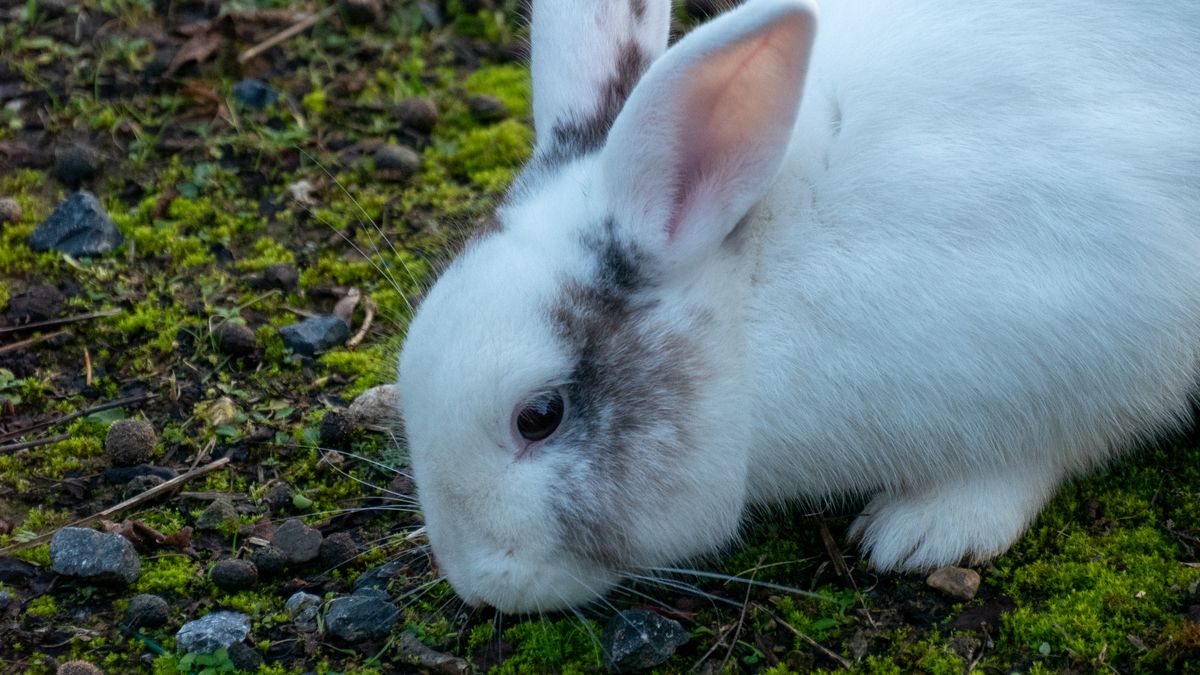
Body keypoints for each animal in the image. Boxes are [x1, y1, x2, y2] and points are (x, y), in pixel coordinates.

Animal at [397, 0, 1200, 613]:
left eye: (539, 415)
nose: (474, 584)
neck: (750, 296)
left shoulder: (1105, 332)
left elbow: (1039, 454)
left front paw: (921, 530)